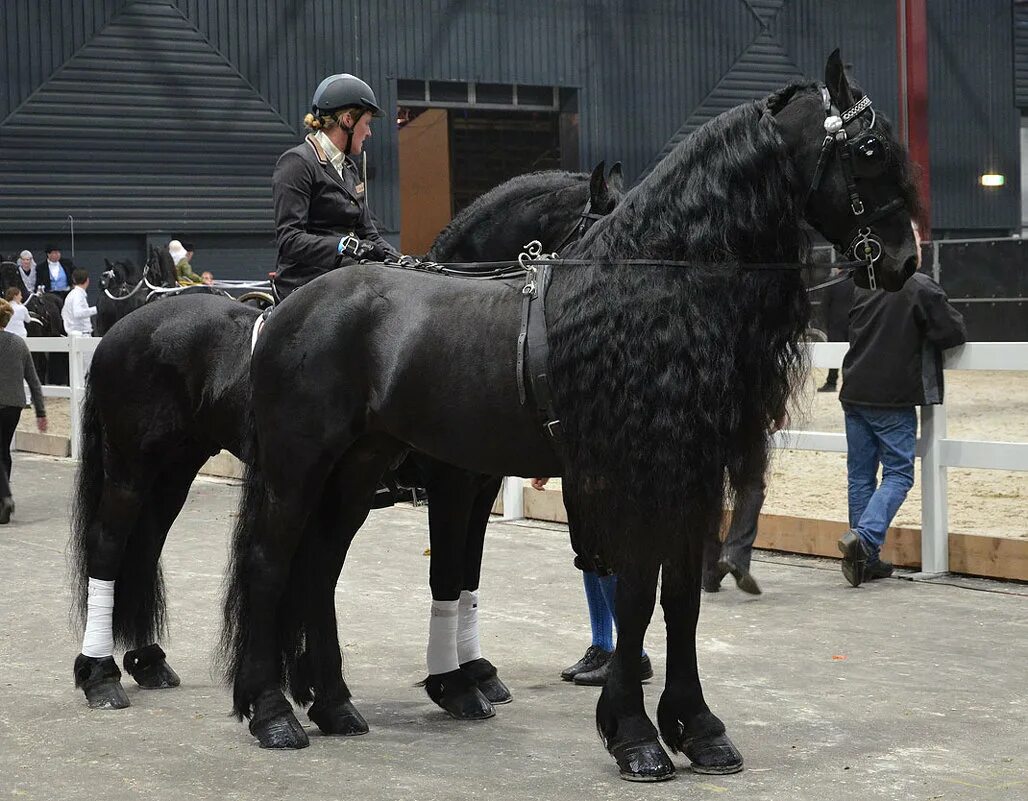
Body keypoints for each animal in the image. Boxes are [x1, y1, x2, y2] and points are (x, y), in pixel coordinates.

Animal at [70, 161, 625, 715]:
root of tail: (121, 330)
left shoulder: (480, 486)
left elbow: (468, 574)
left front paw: (477, 672)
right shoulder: (450, 486)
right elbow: (446, 573)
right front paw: (454, 683)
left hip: (176, 468)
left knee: (145, 545)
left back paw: (147, 661)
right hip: (133, 467)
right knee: (108, 543)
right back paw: (100, 675)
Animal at [221, 53, 921, 781]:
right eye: (871, 149)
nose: (906, 259)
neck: (652, 288)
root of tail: (287, 311)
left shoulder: (688, 474)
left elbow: (681, 599)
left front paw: (697, 727)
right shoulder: (623, 476)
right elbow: (633, 592)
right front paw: (635, 734)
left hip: (358, 467)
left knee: (319, 564)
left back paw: (332, 704)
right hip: (297, 465)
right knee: (269, 562)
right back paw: (272, 712)